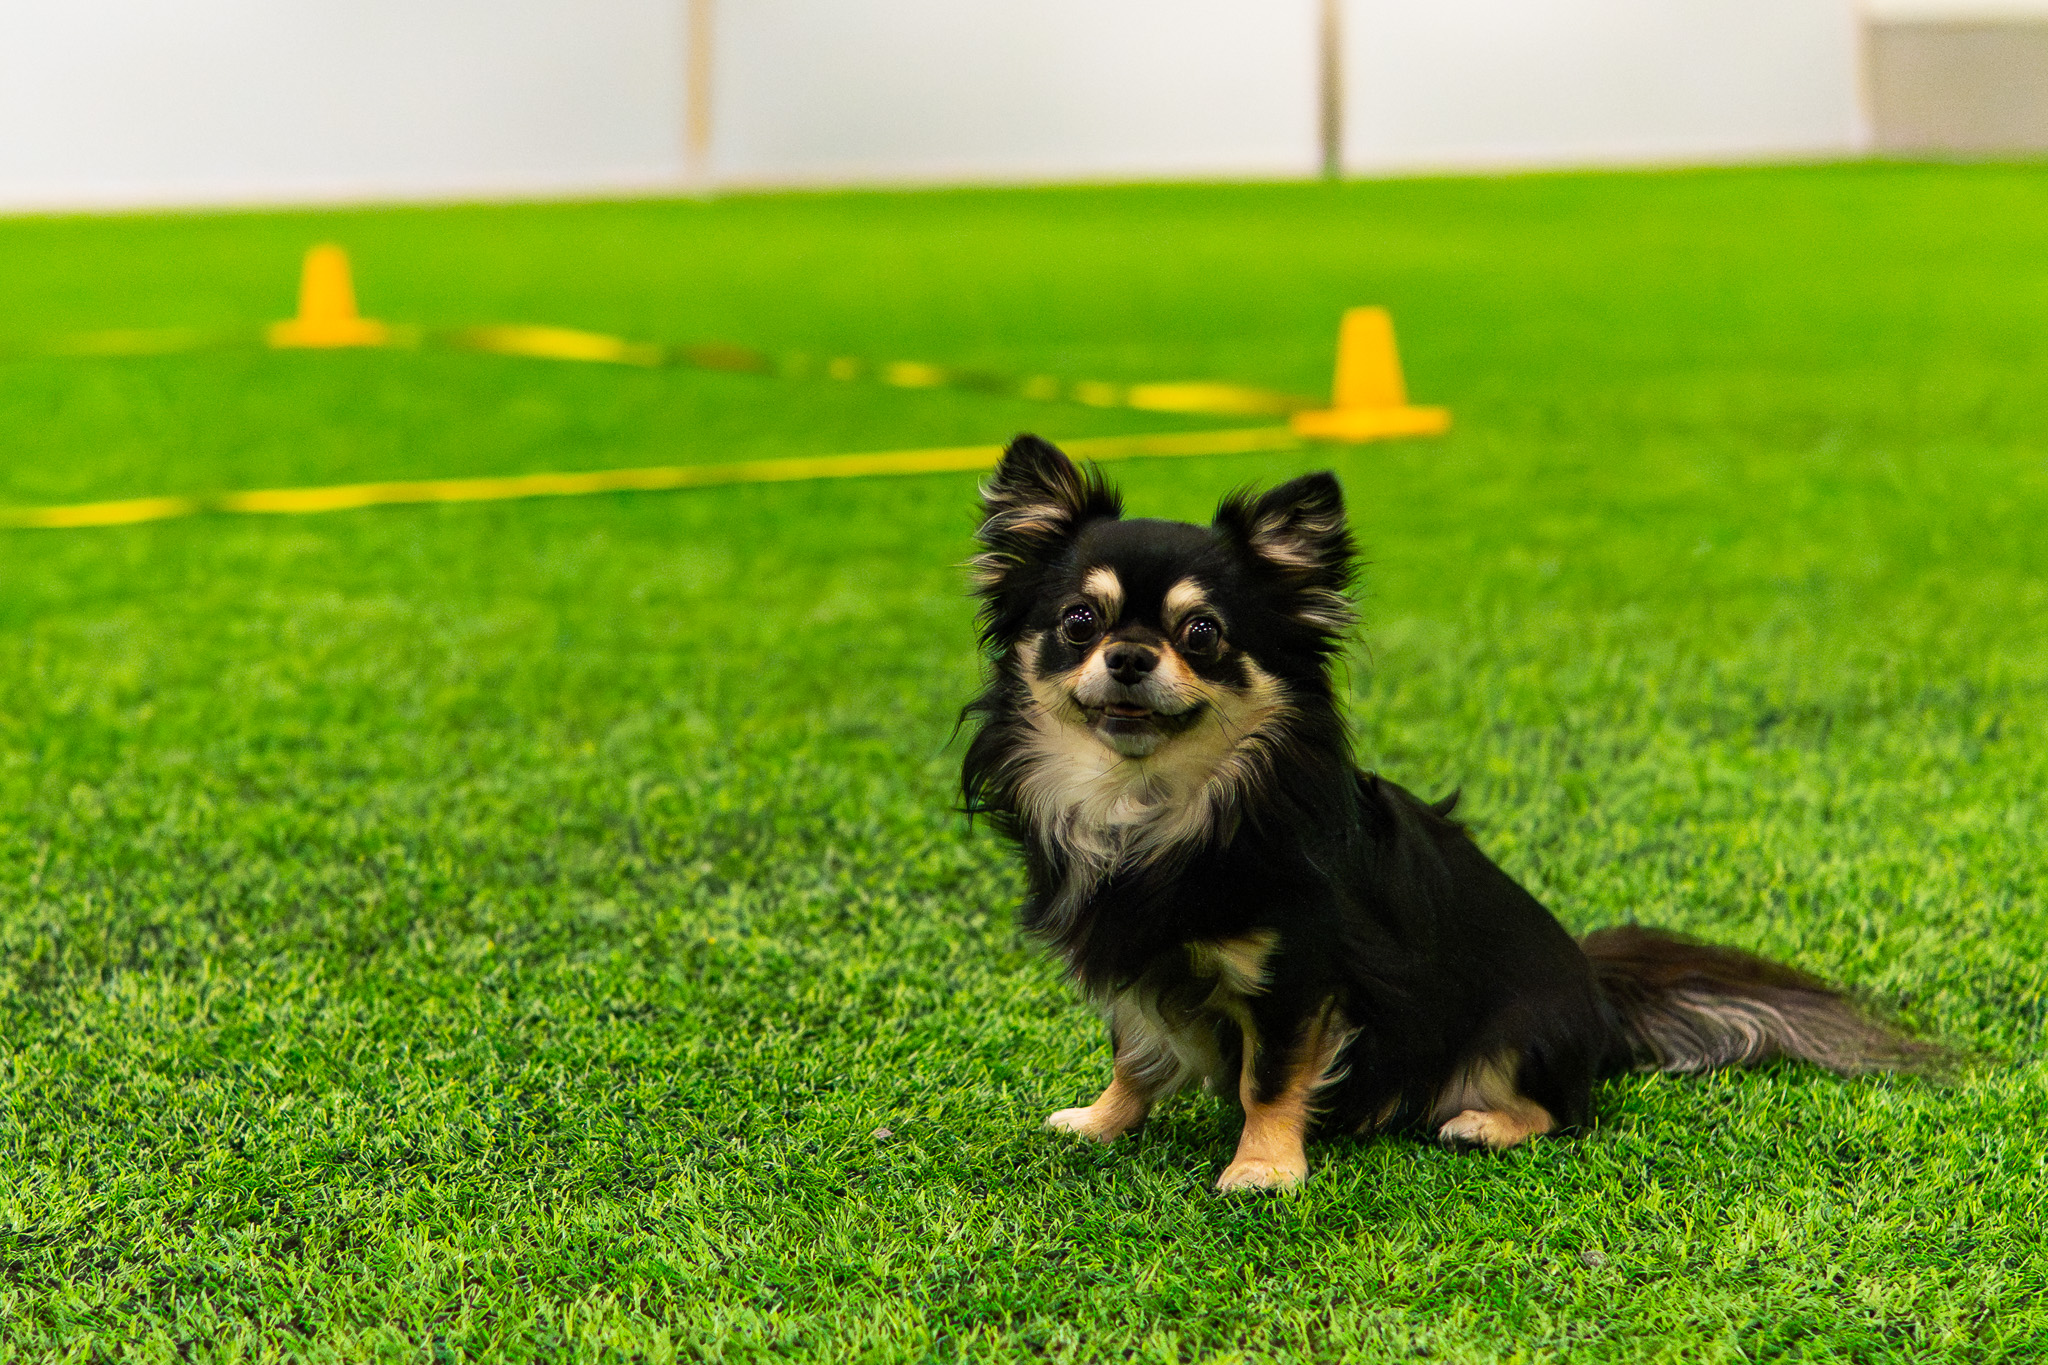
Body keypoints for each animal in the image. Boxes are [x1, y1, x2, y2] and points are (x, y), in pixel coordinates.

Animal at [961, 434, 1929, 1192]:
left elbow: (1268, 1078)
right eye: (1078, 621)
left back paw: (1482, 1121)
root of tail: (1596, 987)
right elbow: (1132, 1046)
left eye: (1202, 634)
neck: (1152, 804)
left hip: (1518, 1032)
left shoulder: (1295, 974)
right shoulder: (1132, 955)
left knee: (1565, 1110)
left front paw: (1263, 1166)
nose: (1127, 656)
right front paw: (1102, 1119)